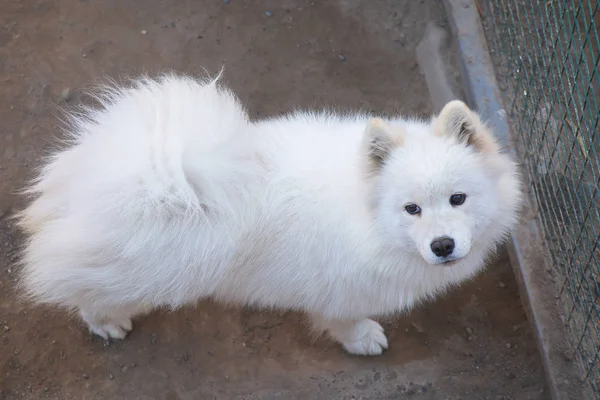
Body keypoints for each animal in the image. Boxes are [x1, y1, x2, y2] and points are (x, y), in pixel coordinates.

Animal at [14, 75, 520, 356]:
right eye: (411, 209)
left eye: (458, 199)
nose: (442, 246)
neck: (367, 218)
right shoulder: (342, 291)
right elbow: (345, 321)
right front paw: (361, 340)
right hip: (137, 272)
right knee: (85, 290)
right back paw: (106, 322)